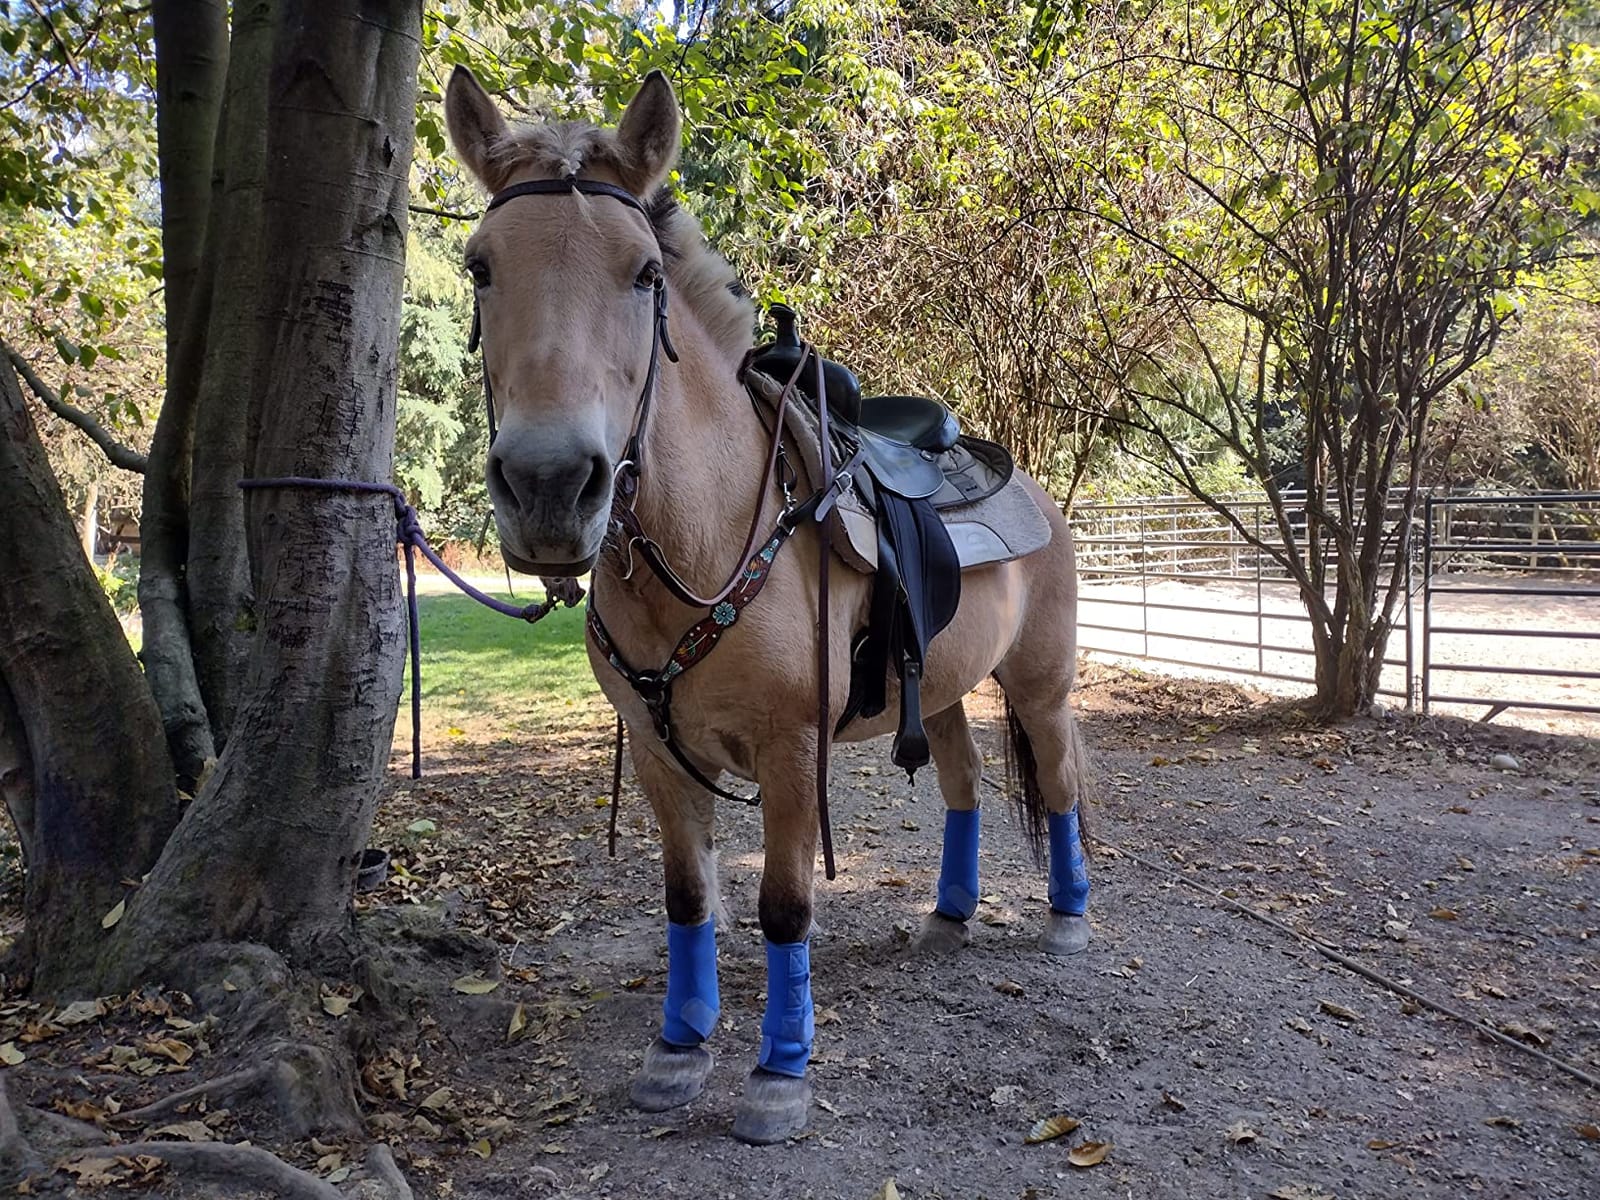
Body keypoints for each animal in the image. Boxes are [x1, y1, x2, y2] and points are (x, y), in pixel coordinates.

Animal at [445, 65, 1092, 1145]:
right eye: (481, 267)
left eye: (643, 275)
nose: (549, 486)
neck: (702, 543)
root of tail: (1028, 488)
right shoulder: (658, 756)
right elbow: (687, 900)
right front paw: (677, 1051)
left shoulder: (793, 756)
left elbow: (784, 906)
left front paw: (778, 1073)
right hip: (944, 691)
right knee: (962, 785)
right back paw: (950, 913)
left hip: (1038, 687)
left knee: (1062, 780)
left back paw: (1069, 916)